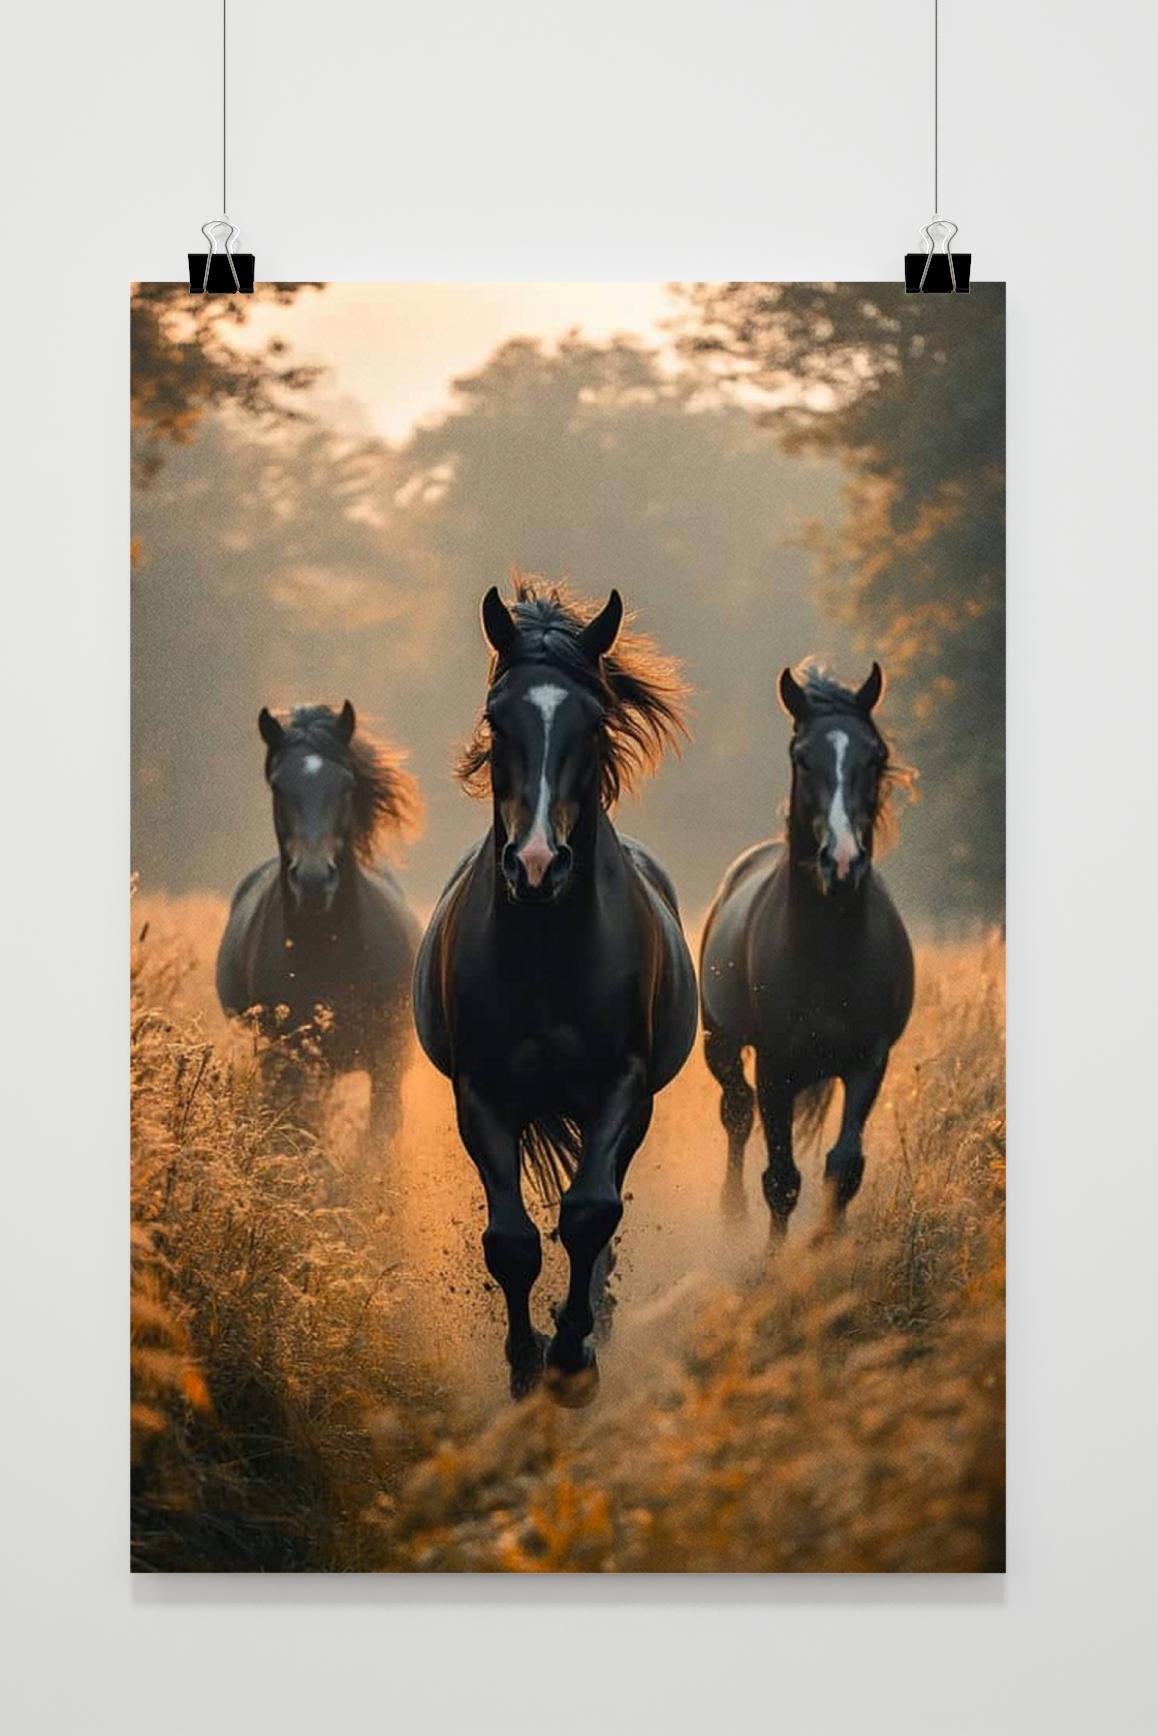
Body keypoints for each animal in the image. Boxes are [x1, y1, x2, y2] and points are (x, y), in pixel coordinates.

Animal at [216, 701, 422, 1150]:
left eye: (346, 785)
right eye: (278, 787)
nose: (312, 880)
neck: (330, 949)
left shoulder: (386, 1063)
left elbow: (379, 1138)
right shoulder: (292, 1057)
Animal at [413, 579, 697, 1404]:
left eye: (594, 721)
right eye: (494, 717)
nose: (537, 864)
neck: (545, 953)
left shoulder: (620, 1087)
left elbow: (589, 1214)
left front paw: (573, 1359)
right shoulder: (482, 1094)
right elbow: (510, 1240)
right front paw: (524, 1362)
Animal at [700, 661, 914, 1234]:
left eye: (876, 754)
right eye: (802, 756)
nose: (841, 861)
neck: (826, 951)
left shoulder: (868, 1061)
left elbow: (844, 1165)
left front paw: (826, 1245)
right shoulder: (776, 1065)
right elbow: (781, 1178)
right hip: (721, 1042)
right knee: (736, 1110)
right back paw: (731, 1212)